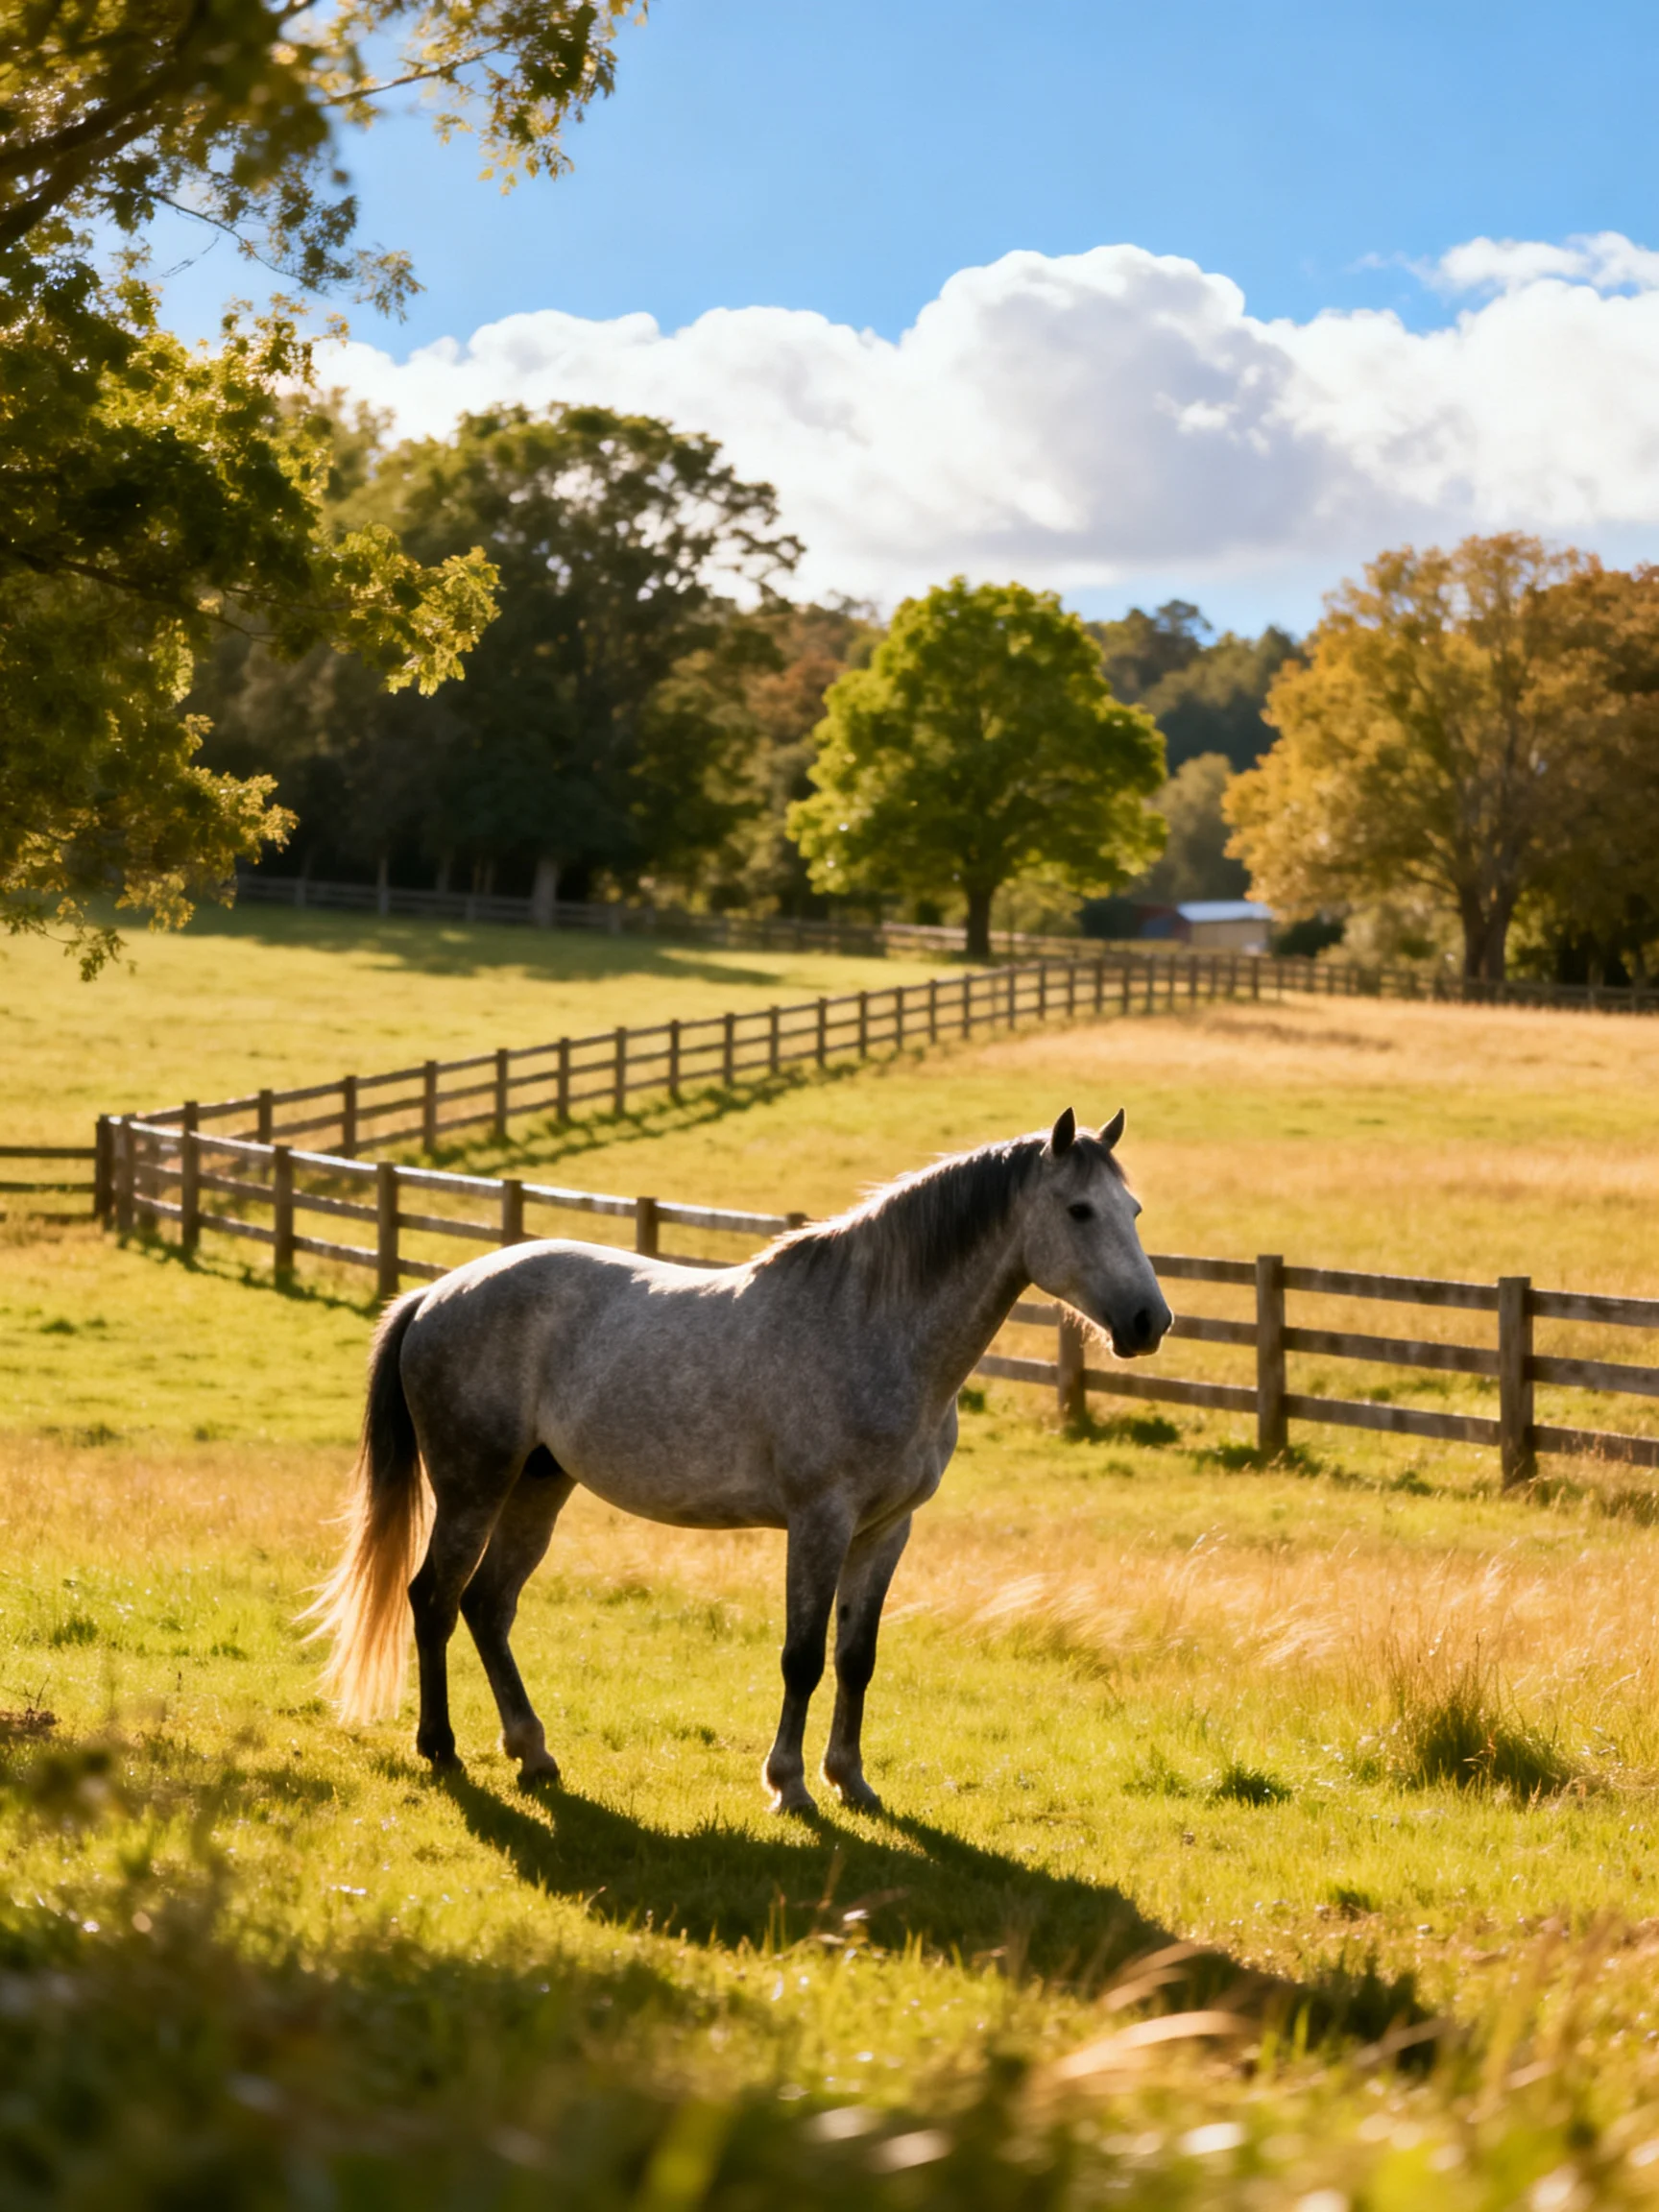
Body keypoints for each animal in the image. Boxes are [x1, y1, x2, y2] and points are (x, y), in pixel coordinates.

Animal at [306, 1107, 1172, 1815]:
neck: (874, 1327)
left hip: (538, 1487)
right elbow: (802, 1657)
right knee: (434, 1598)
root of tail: (434, 1294)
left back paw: (534, 1753)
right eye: (1079, 1209)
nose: (1149, 1321)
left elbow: (856, 1657)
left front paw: (851, 1779)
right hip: (473, 1486)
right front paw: (789, 1786)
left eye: (1133, 1210)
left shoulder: (885, 1530)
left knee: (488, 1606)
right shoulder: (819, 1522)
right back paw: (441, 1748)